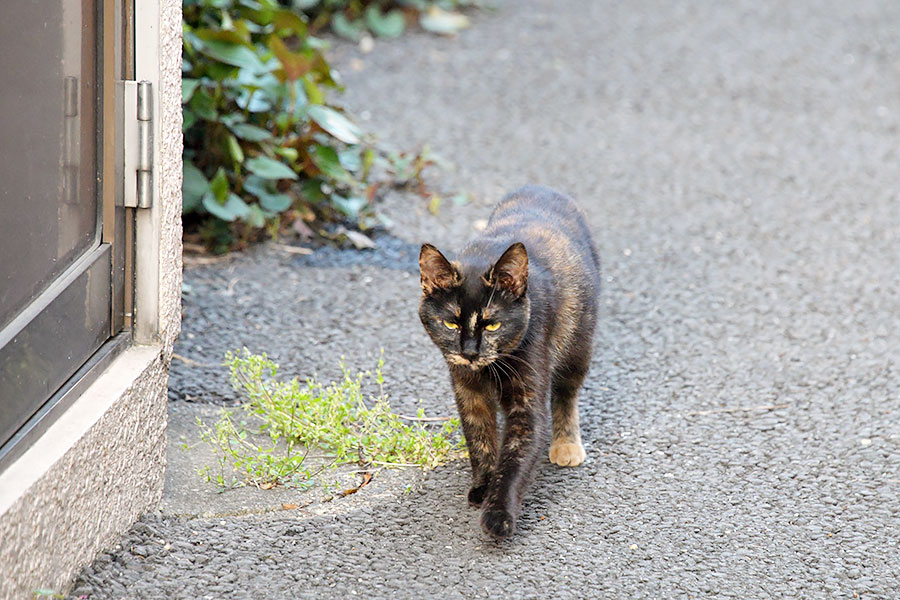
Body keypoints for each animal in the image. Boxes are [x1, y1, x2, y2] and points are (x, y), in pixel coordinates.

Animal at [418, 183, 600, 540]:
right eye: (450, 323)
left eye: (492, 324)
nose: (469, 351)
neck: (490, 369)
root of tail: (544, 187)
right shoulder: (468, 390)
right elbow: (479, 439)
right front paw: (482, 486)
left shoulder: (526, 402)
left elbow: (514, 461)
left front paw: (498, 513)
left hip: (579, 344)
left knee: (567, 392)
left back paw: (566, 444)